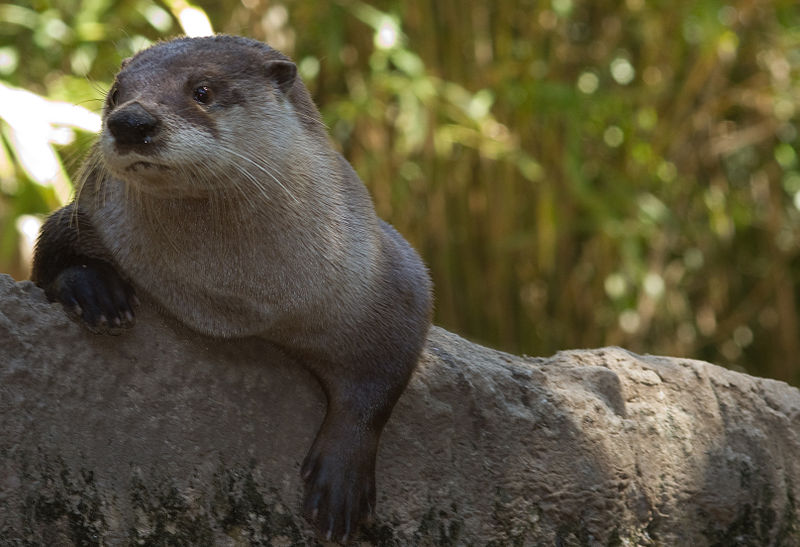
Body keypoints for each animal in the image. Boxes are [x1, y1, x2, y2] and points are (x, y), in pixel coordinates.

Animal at [29, 34, 432, 544]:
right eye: (116, 94)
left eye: (202, 90)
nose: (130, 122)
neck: (233, 298)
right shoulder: (93, 216)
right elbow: (51, 247)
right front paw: (96, 290)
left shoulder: (386, 271)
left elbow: (383, 377)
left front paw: (341, 479)